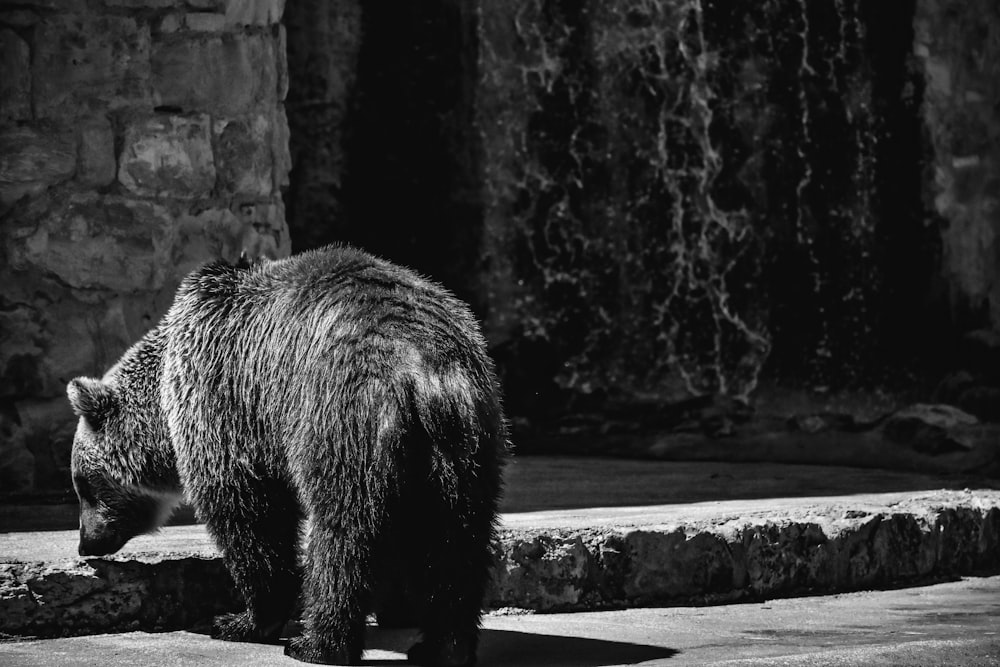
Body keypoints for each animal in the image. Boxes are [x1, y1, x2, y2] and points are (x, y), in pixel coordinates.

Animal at [66, 247, 508, 667]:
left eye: (83, 485)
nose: (86, 543)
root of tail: (425, 369)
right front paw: (399, 608)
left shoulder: (227, 397)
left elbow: (250, 514)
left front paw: (239, 620)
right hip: (466, 445)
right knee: (457, 541)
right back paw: (443, 647)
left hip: (342, 418)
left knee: (344, 535)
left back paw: (316, 644)